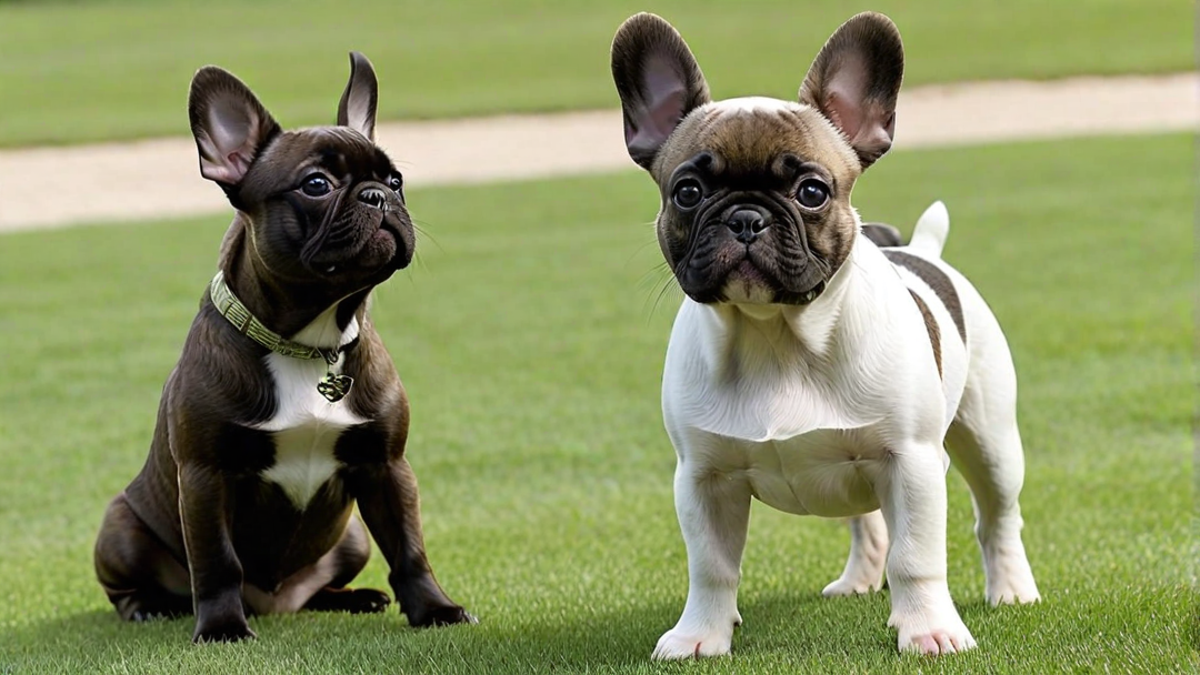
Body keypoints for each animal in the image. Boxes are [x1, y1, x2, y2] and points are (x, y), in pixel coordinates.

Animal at [92, 52, 472, 638]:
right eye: (316, 184)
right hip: (119, 528)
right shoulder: (205, 477)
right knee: (133, 585)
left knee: (324, 585)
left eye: (396, 178)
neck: (309, 340)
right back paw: (151, 607)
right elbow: (216, 561)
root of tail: (276, 603)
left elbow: (410, 549)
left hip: (351, 536)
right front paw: (221, 628)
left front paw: (434, 610)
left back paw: (354, 598)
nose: (379, 195)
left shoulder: (387, 466)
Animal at [609, 10, 1041, 658]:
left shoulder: (911, 462)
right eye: (687, 192)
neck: (775, 336)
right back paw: (860, 580)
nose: (746, 217)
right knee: (869, 523)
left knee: (997, 517)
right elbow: (711, 566)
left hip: (990, 439)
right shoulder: (704, 478)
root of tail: (923, 250)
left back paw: (1011, 590)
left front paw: (928, 629)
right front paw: (700, 635)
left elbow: (917, 557)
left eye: (811, 192)